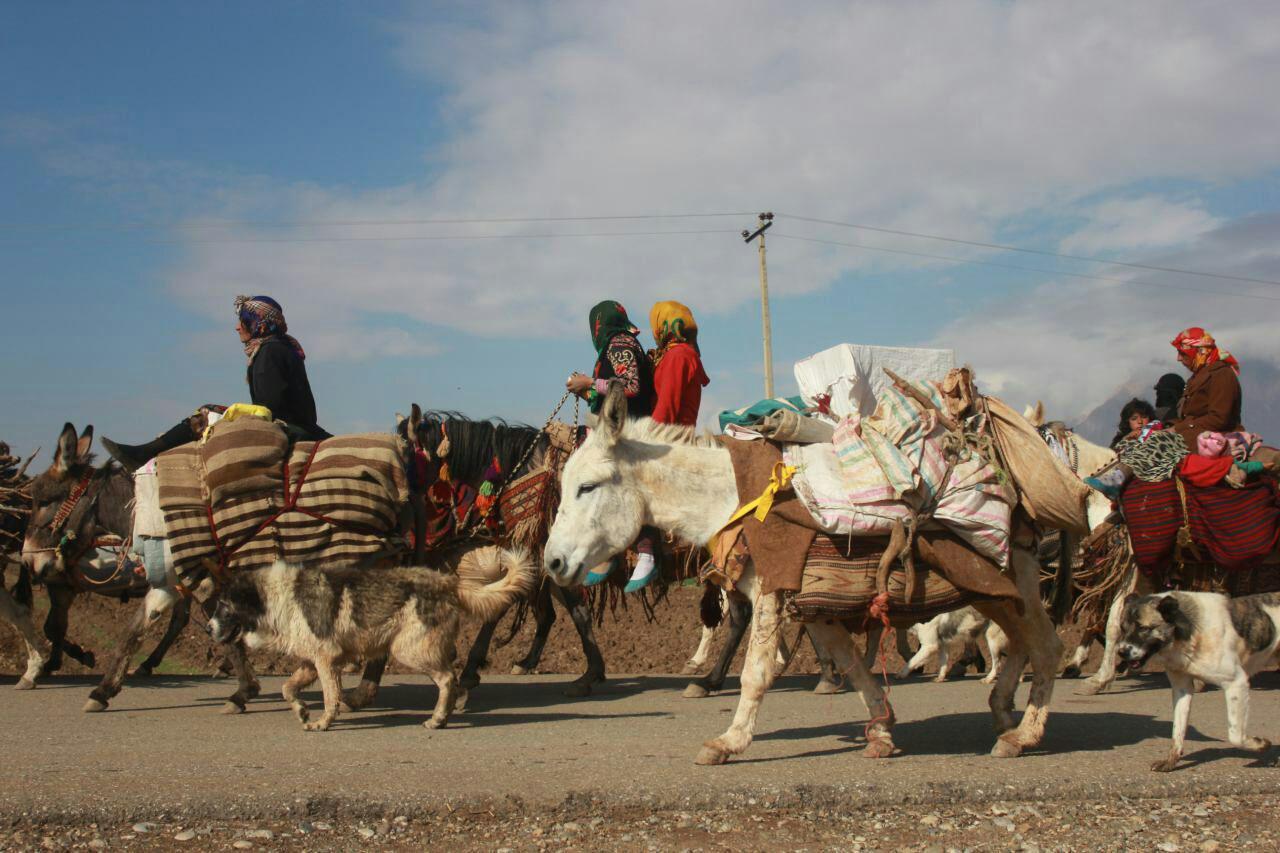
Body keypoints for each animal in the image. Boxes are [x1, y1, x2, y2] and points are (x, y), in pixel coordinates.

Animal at [206, 545, 535, 732]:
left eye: (223, 606)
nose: (207, 628)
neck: (273, 599)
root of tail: (446, 581)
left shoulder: (327, 660)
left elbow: (331, 697)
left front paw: (323, 723)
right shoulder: (312, 662)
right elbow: (288, 689)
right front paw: (301, 711)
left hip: (409, 650)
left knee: (447, 679)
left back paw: (439, 718)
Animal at [1116, 591, 1274, 768]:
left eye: (1144, 628)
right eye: (1123, 628)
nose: (1121, 652)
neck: (1188, 632)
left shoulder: (1236, 683)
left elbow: (1235, 735)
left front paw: (1260, 744)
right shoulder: (1182, 689)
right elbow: (1177, 729)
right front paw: (1171, 760)